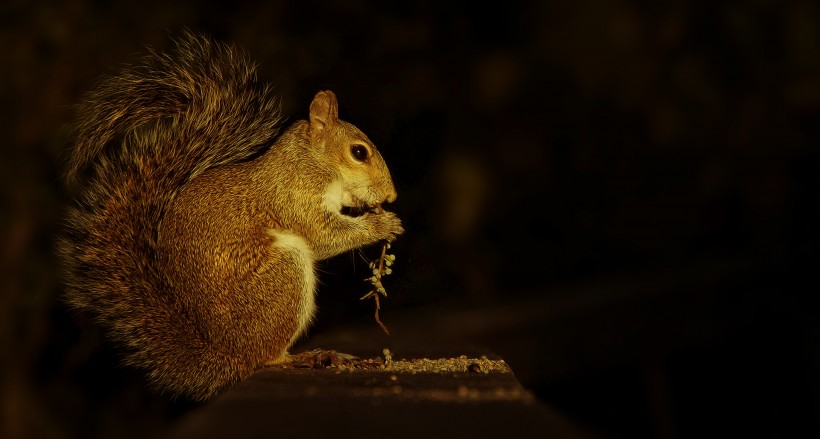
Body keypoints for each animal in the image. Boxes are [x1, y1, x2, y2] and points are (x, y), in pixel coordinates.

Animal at [57, 33, 404, 402]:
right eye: (358, 152)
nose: (391, 196)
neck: (310, 163)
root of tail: (226, 355)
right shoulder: (293, 198)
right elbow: (322, 235)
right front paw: (383, 224)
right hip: (282, 275)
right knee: (265, 358)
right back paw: (309, 356)